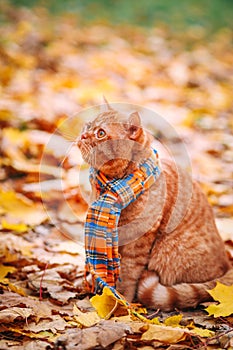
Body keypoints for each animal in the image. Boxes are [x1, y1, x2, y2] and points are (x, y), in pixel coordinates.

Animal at [77, 104, 232, 312]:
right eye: (88, 125)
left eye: (100, 133)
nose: (83, 135)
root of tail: (227, 266)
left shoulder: (139, 242)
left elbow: (128, 273)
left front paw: (121, 301)